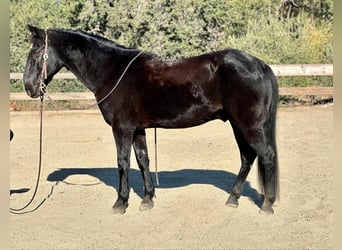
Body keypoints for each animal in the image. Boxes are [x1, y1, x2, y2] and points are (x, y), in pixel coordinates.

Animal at [22, 25, 280, 214]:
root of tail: (260, 65)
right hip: (238, 125)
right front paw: (147, 198)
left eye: (35, 53)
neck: (113, 71)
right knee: (247, 158)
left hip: (250, 126)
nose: (29, 88)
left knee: (266, 156)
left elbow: (123, 162)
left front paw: (121, 202)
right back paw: (233, 198)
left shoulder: (122, 129)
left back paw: (267, 204)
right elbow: (143, 160)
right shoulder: (138, 130)